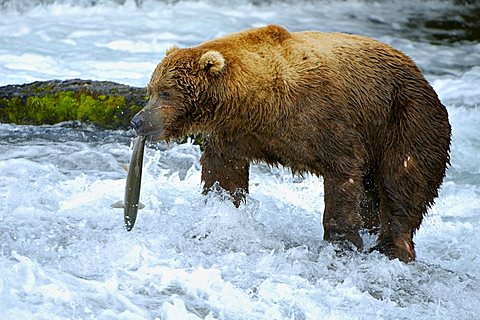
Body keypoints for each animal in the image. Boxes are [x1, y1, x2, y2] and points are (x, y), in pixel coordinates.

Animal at [131, 24, 450, 260]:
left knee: (402, 182)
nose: (138, 121)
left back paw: (393, 247)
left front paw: (341, 243)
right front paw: (220, 216)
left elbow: (344, 171)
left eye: (166, 91)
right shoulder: (237, 132)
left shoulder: (323, 117)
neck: (256, 101)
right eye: (150, 90)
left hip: (405, 119)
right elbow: (223, 173)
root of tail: (423, 78)